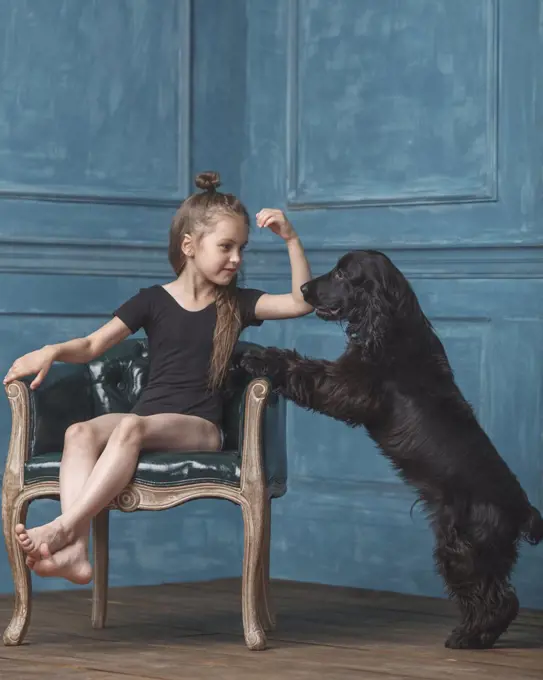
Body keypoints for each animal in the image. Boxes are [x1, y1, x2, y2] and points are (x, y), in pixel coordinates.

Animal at [242, 248, 543, 648]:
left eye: (342, 274)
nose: (303, 288)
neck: (392, 323)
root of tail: (522, 510)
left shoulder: (348, 387)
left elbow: (306, 369)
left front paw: (261, 358)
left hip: (464, 545)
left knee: (499, 599)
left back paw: (469, 637)